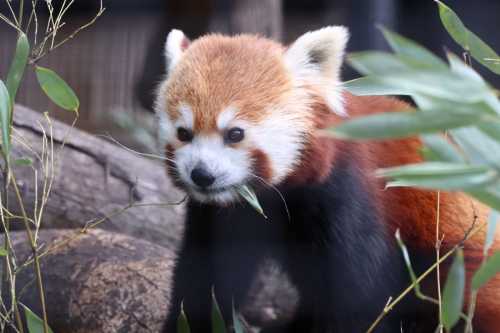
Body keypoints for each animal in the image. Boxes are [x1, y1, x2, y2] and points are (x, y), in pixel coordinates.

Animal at [155, 27, 500, 330]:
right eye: (184, 133)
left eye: (235, 134)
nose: (202, 175)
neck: (278, 196)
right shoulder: (227, 213)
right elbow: (208, 279)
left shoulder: (347, 193)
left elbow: (358, 296)